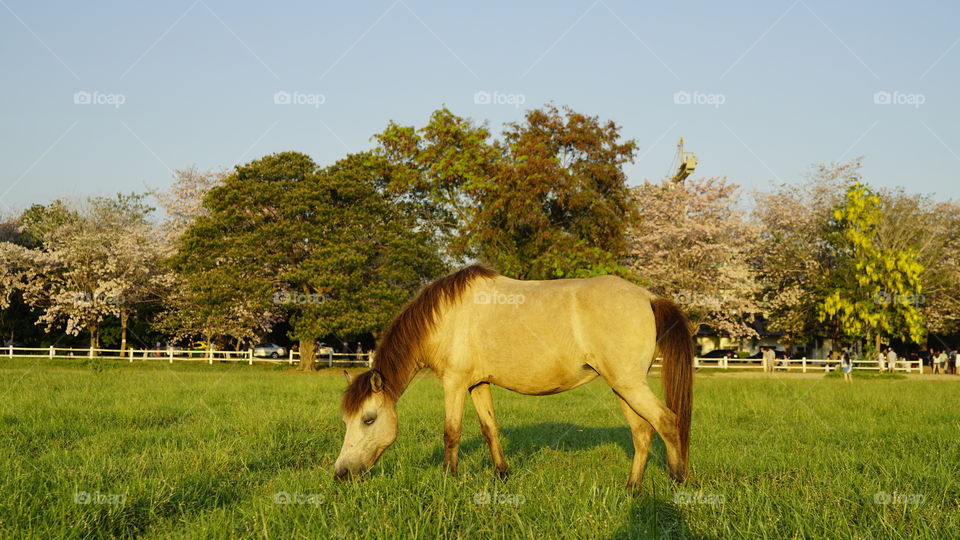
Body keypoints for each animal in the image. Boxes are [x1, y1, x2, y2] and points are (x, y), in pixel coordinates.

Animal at [334, 264, 693, 492]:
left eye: (368, 419)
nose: (341, 473)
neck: (446, 318)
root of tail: (648, 297)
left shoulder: (454, 383)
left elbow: (451, 433)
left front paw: (449, 479)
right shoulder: (477, 385)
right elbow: (490, 429)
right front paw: (502, 474)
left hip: (630, 385)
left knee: (667, 422)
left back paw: (678, 481)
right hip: (623, 387)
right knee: (642, 432)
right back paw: (632, 488)